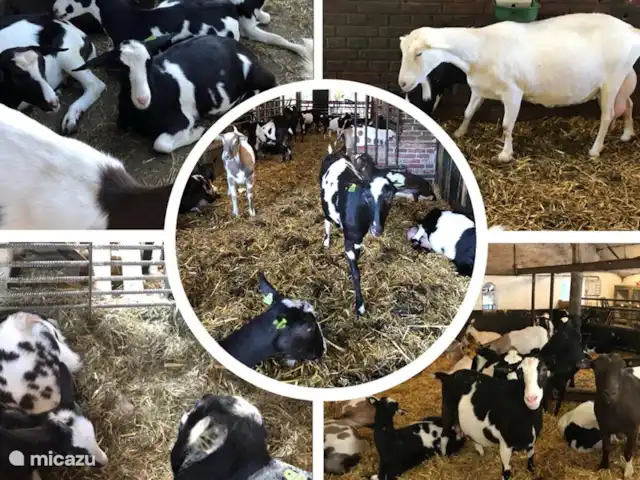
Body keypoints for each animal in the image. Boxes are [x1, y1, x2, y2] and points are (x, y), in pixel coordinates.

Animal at [75, 35, 276, 153]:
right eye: (120, 67)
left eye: (149, 62)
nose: (142, 99)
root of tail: (237, 44)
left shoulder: (182, 120)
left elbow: (160, 144)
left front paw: (198, 131)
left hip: (256, 73)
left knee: (270, 82)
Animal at [320, 145, 397, 315]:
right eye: (367, 196)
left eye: (390, 196)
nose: (377, 228)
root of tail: (334, 153)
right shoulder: (349, 241)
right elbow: (356, 274)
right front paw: (360, 306)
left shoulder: (358, 240)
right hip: (325, 204)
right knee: (327, 220)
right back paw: (327, 240)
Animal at [398, 13, 640, 161]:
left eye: (419, 53)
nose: (402, 83)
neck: (481, 47)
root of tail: (632, 30)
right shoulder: (479, 89)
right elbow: (468, 112)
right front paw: (459, 132)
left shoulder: (512, 92)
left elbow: (507, 125)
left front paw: (505, 154)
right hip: (619, 81)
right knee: (627, 103)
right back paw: (627, 134)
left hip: (612, 80)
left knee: (607, 116)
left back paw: (595, 150)